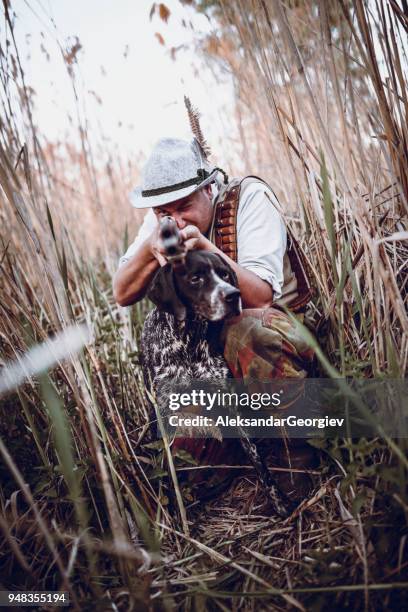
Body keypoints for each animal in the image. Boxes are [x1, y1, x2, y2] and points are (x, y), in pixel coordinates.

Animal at [140, 247, 294, 516]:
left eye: (224, 274)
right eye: (195, 278)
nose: (233, 296)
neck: (188, 341)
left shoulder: (230, 406)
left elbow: (257, 458)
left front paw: (278, 501)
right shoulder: (164, 413)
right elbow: (169, 469)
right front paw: (177, 515)